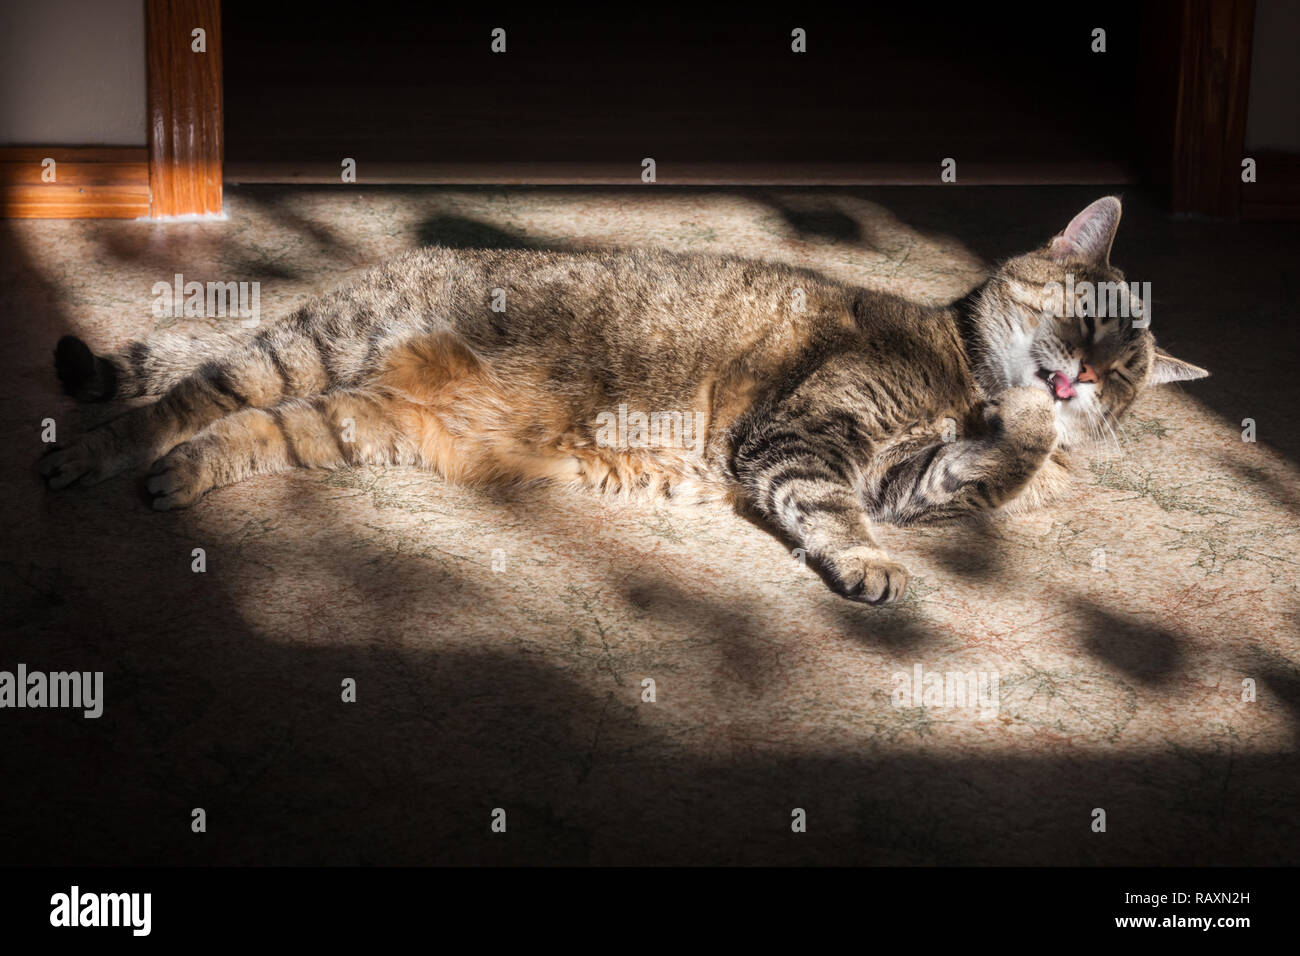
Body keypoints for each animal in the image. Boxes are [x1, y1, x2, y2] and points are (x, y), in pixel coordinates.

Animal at [43, 196, 1206, 606]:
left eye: (1125, 379)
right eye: (1092, 320)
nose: (1087, 378)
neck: (960, 370)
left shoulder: (907, 475)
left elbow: (982, 467)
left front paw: (1040, 431)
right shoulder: (809, 436)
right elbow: (840, 509)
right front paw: (874, 559)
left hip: (347, 418)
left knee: (238, 427)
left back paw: (177, 476)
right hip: (306, 352)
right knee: (184, 392)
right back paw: (87, 454)